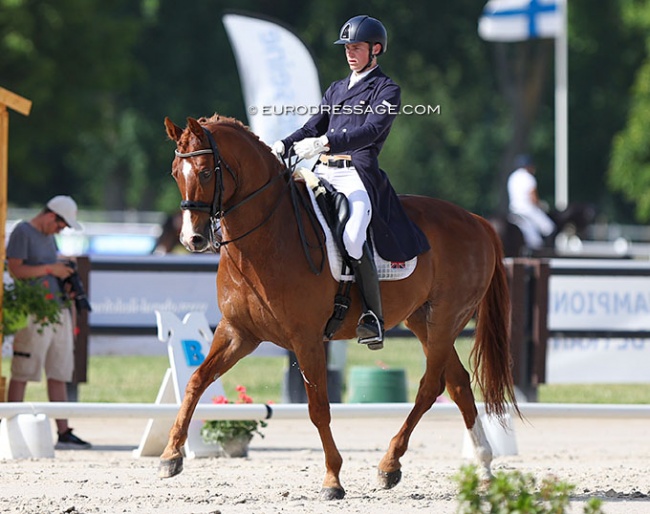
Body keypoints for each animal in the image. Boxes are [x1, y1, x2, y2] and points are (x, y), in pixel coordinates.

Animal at [157, 114, 516, 498]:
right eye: (175, 173)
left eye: (205, 172)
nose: (192, 239)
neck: (267, 235)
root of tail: (476, 220)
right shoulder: (237, 333)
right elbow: (196, 381)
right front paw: (170, 456)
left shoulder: (306, 339)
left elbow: (318, 409)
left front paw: (333, 478)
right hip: (424, 320)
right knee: (459, 384)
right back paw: (484, 468)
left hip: (446, 319)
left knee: (431, 386)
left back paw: (390, 464)